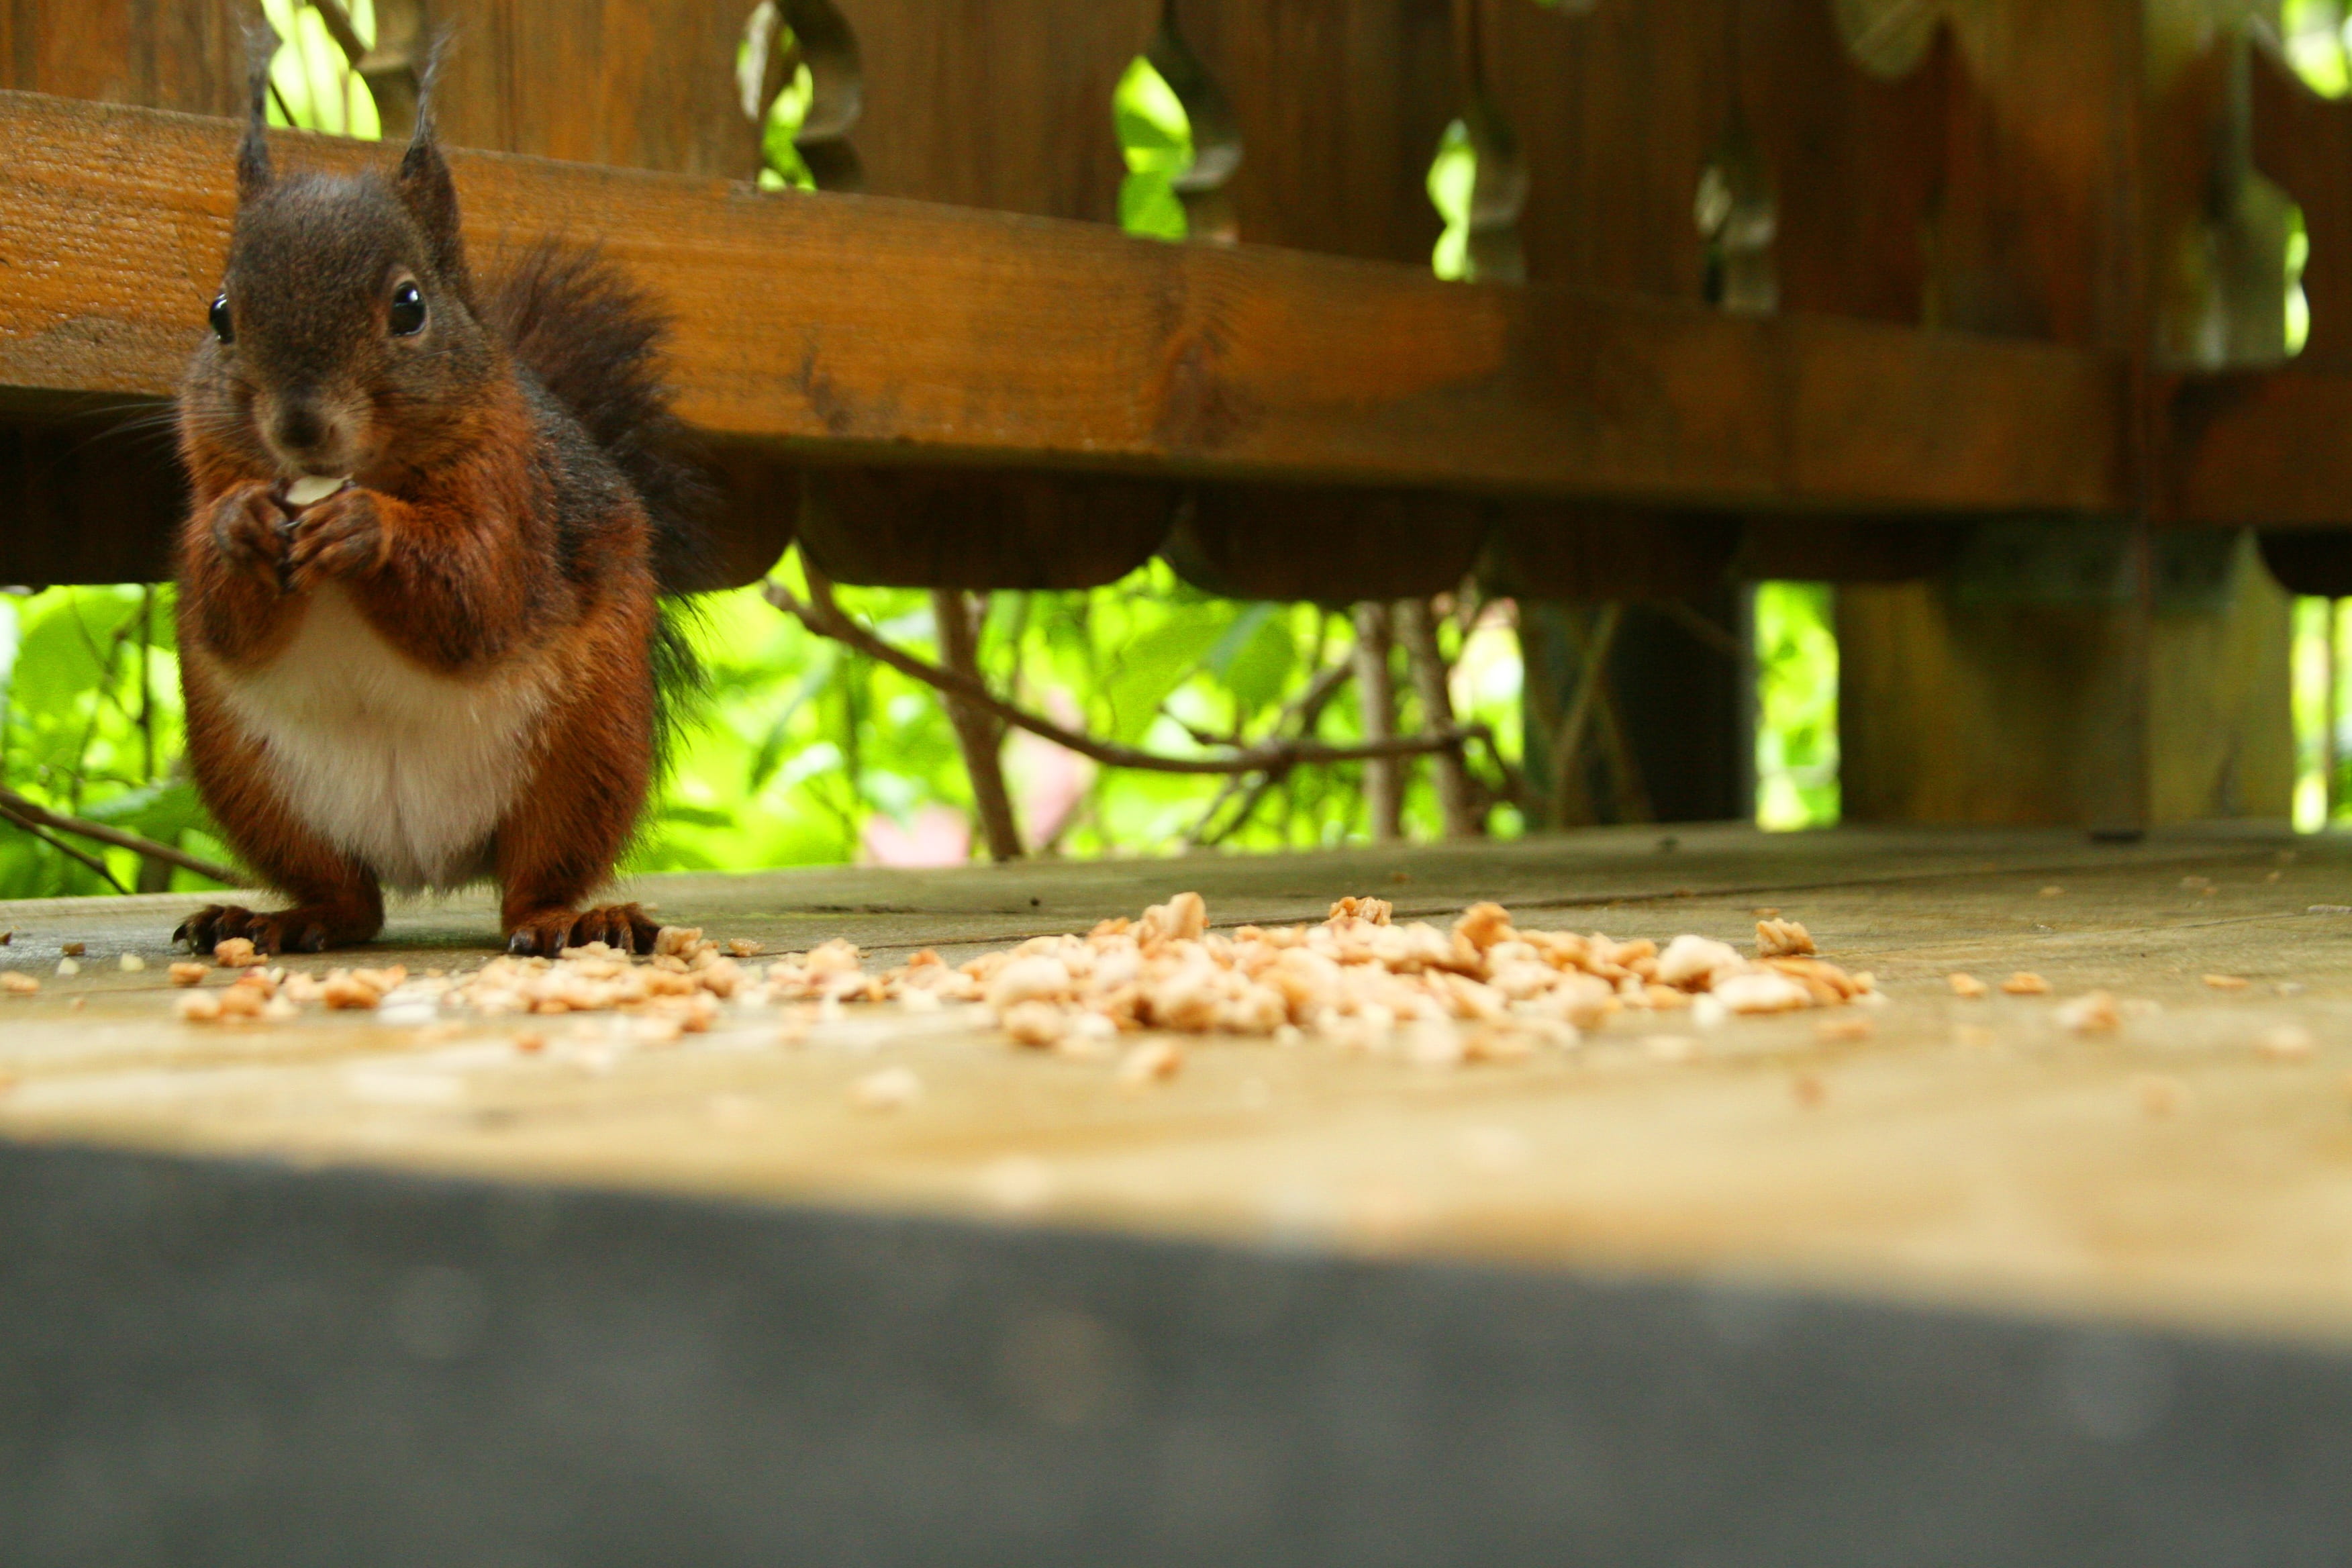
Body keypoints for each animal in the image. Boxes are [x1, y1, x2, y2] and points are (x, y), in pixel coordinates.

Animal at [171, 48, 710, 958]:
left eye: (409, 305)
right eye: (218, 316)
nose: (300, 424)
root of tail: (427, 858)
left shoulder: (517, 496)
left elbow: (478, 596)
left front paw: (368, 531)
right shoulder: (205, 480)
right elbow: (223, 617)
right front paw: (239, 526)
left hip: (589, 752)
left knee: (534, 878)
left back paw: (573, 918)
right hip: (250, 781)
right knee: (349, 900)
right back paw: (280, 917)